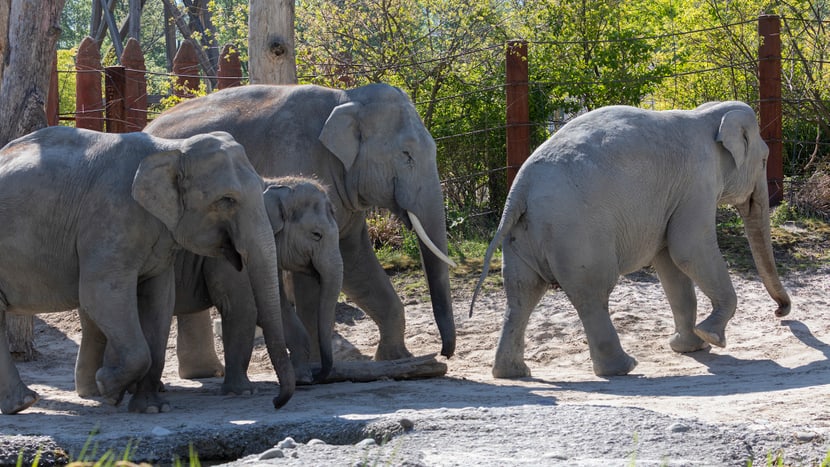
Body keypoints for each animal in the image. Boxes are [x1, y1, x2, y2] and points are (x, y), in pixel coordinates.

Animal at [0, 127, 296, 414]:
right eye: (227, 200)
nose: (276, 402)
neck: (171, 149)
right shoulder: (109, 220)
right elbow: (101, 294)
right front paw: (109, 389)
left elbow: (160, 300)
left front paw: (151, 408)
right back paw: (27, 403)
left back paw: (21, 403)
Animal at [75, 176, 342, 398]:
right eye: (316, 235)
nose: (320, 376)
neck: (274, 183)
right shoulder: (230, 255)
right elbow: (244, 307)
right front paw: (242, 393)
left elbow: (278, 309)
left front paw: (302, 379)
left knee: (97, 322)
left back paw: (97, 390)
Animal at [146, 83, 458, 370]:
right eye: (406, 154)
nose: (444, 354)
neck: (346, 97)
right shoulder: (298, 157)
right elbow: (317, 273)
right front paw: (321, 366)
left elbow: (354, 260)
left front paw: (396, 357)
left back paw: (205, 372)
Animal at [474, 101, 792, 380]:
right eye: (765, 159)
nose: (780, 311)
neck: (706, 115)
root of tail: (521, 188)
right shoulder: (697, 181)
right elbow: (689, 249)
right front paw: (711, 336)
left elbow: (670, 262)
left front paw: (691, 347)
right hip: (577, 233)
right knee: (592, 292)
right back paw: (622, 368)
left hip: (524, 234)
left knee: (522, 293)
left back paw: (513, 373)